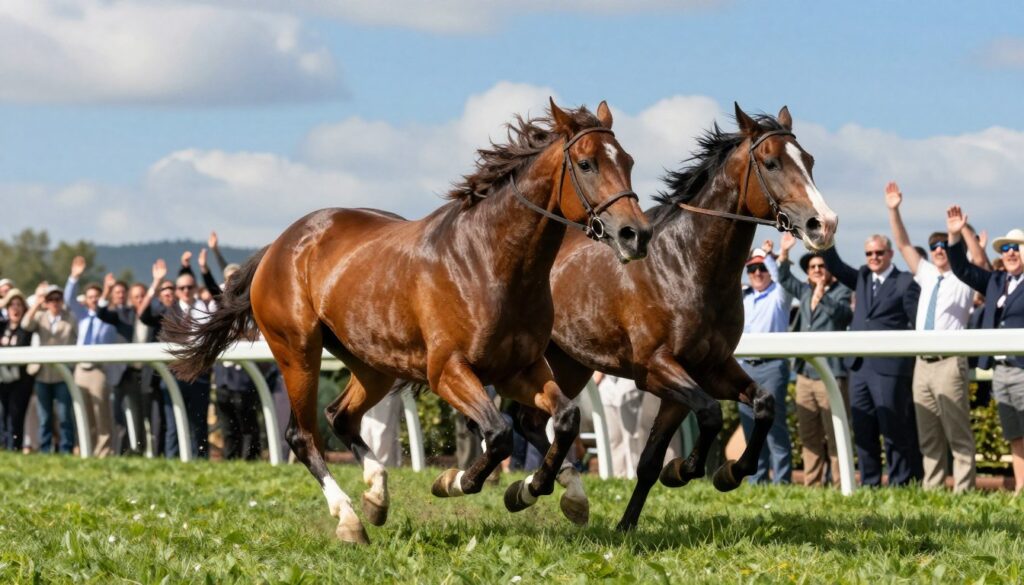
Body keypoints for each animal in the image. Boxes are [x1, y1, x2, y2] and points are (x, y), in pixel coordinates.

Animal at [165, 99, 653, 544]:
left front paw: (539, 491)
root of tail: (278, 245)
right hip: (297, 351)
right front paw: (455, 481)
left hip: (372, 363)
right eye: (586, 163)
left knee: (340, 416)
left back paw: (376, 495)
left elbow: (565, 418)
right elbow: (497, 434)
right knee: (302, 435)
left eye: (628, 161)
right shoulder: (447, 371)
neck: (492, 261)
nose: (637, 234)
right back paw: (349, 519)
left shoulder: (519, 368)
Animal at [510, 104, 838, 531]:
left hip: (571, 363)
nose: (825, 224)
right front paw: (685, 470)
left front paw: (720, 475)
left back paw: (553, 488)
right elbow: (711, 415)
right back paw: (539, 485)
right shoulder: (656, 368)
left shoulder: (707, 368)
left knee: (533, 421)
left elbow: (760, 406)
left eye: (810, 161)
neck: (689, 265)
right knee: (530, 420)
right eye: (771, 163)